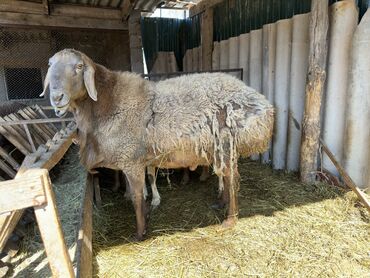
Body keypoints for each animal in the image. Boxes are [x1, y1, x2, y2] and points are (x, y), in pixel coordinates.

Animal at [42, 48, 274, 240]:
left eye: (79, 66)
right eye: (50, 64)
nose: (57, 97)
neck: (108, 101)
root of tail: (264, 105)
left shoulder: (131, 160)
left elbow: (137, 197)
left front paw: (139, 233)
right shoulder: (134, 161)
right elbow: (141, 191)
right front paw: (147, 215)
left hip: (227, 144)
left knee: (232, 180)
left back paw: (230, 219)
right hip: (220, 149)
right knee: (226, 177)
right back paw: (221, 204)